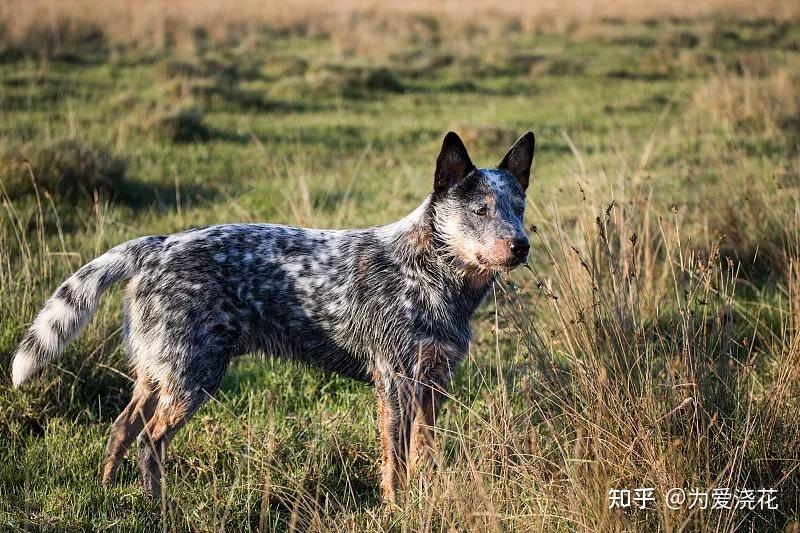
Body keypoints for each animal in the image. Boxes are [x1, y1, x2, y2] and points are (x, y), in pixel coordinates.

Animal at [9, 131, 536, 500]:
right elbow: (396, 462)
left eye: (518, 206)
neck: (432, 272)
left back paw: (111, 491)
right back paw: (160, 507)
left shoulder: (434, 381)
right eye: (480, 209)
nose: (521, 245)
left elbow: (426, 453)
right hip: (194, 378)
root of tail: (158, 246)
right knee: (150, 443)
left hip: (159, 375)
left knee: (122, 429)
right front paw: (397, 509)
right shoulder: (396, 382)